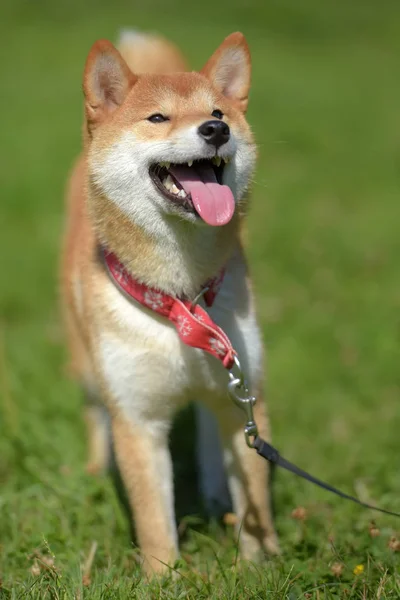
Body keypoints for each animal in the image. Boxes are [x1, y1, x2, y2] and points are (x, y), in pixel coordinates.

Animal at [62, 30, 280, 576]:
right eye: (157, 118)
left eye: (219, 112)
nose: (214, 130)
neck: (181, 298)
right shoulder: (137, 418)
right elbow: (154, 519)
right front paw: (162, 578)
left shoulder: (246, 392)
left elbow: (256, 496)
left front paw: (261, 565)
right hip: (88, 365)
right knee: (95, 412)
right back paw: (95, 469)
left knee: (206, 432)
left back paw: (216, 496)